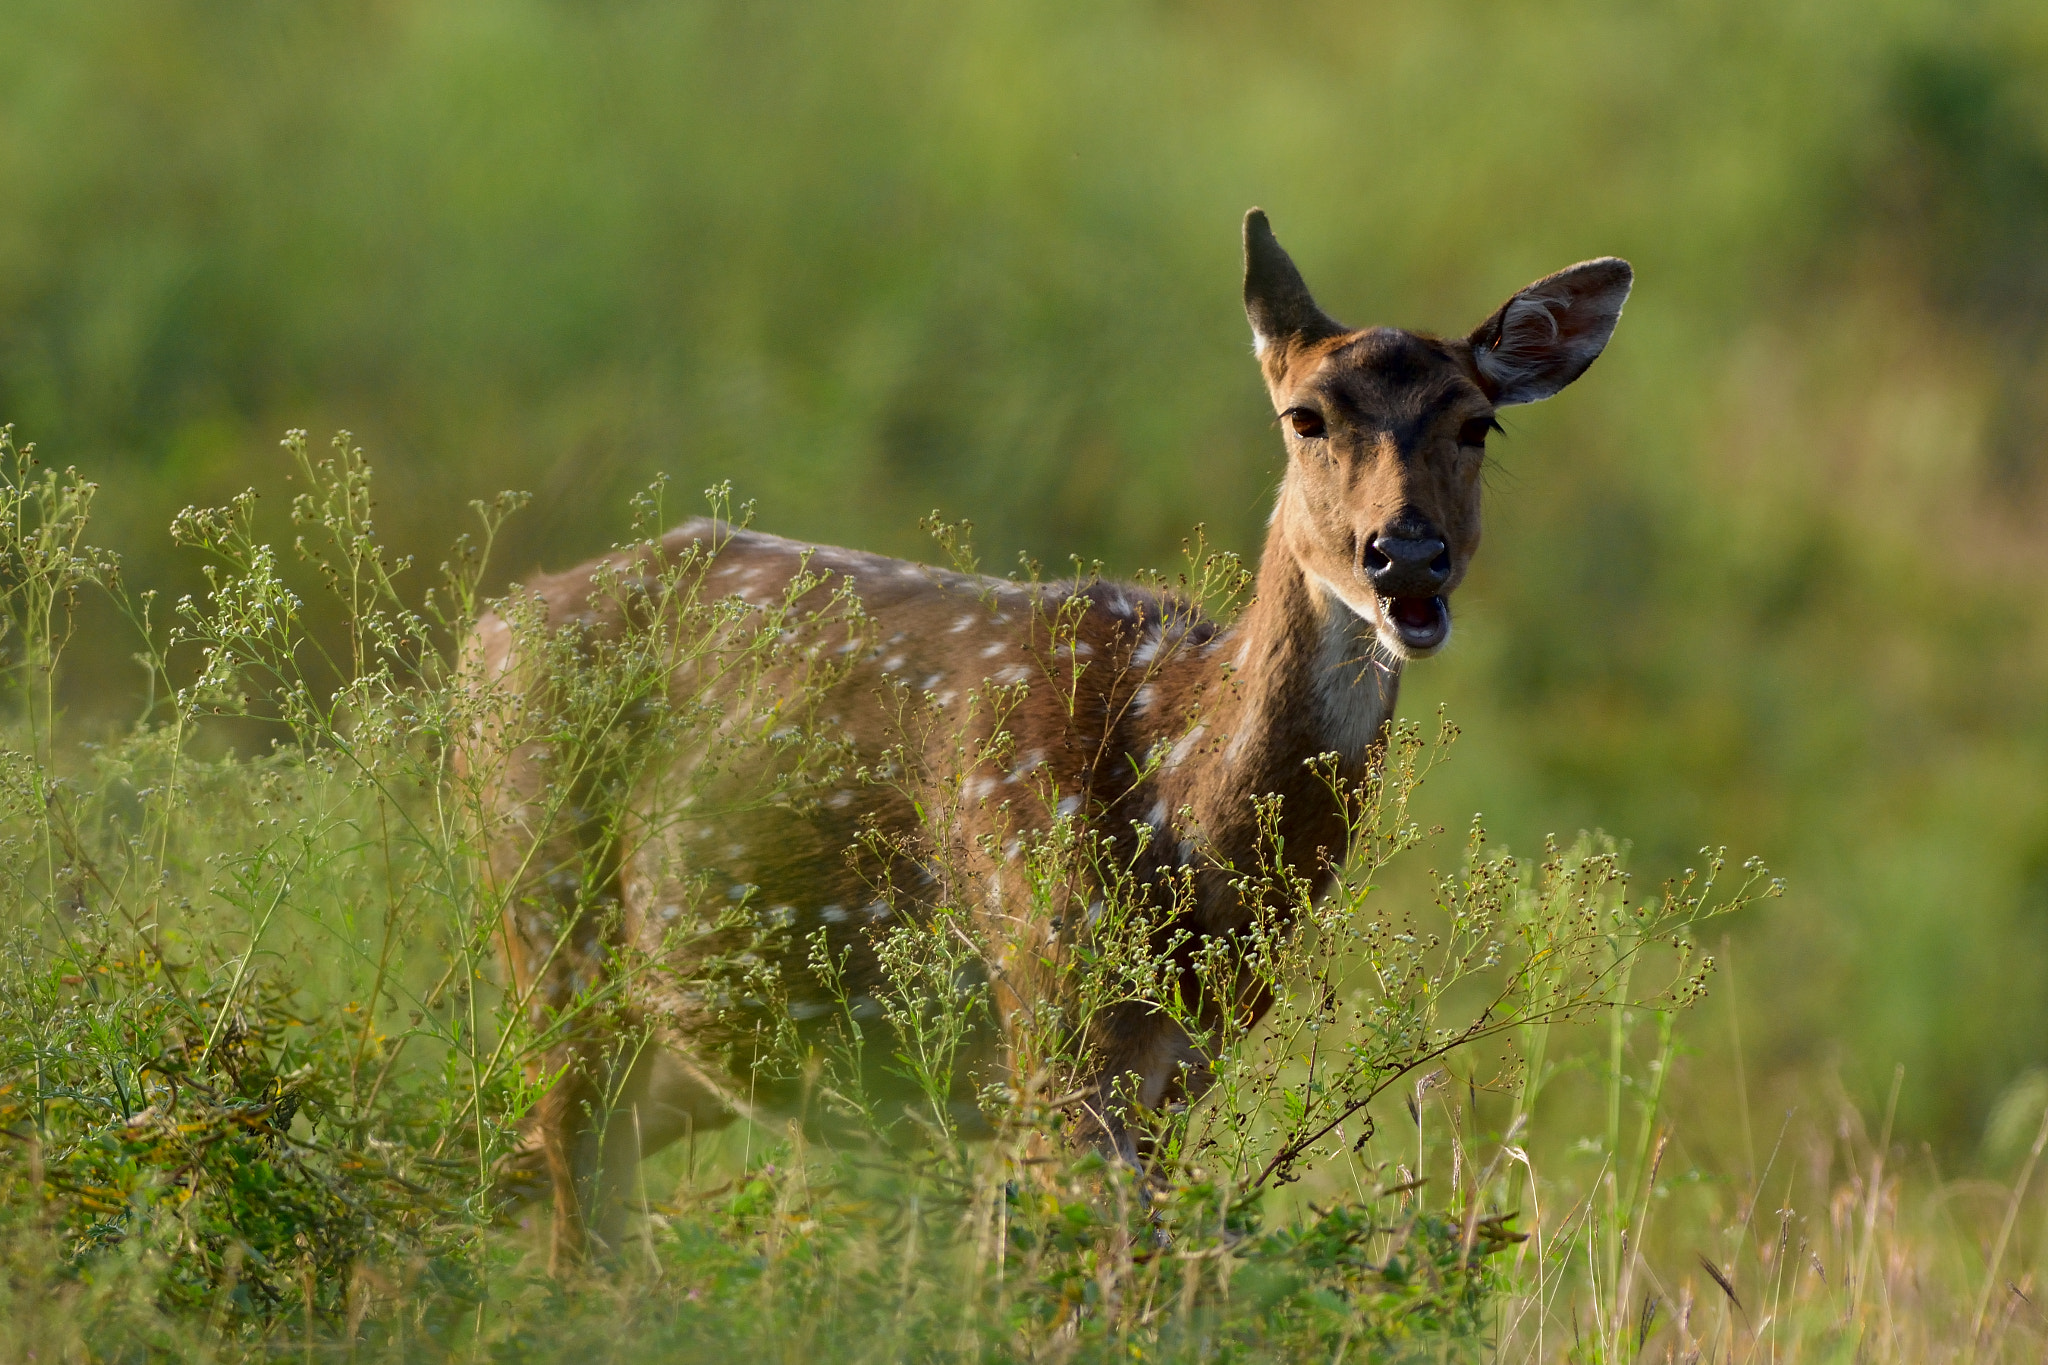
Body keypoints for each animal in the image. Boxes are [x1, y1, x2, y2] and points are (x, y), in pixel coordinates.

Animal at [459, 210, 1631, 1272]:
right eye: (1304, 416)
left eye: (1477, 425)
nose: (1406, 555)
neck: (1179, 803)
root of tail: (486, 633)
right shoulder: (1050, 1001)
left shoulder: (1181, 1064)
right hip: (553, 920)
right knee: (573, 1218)